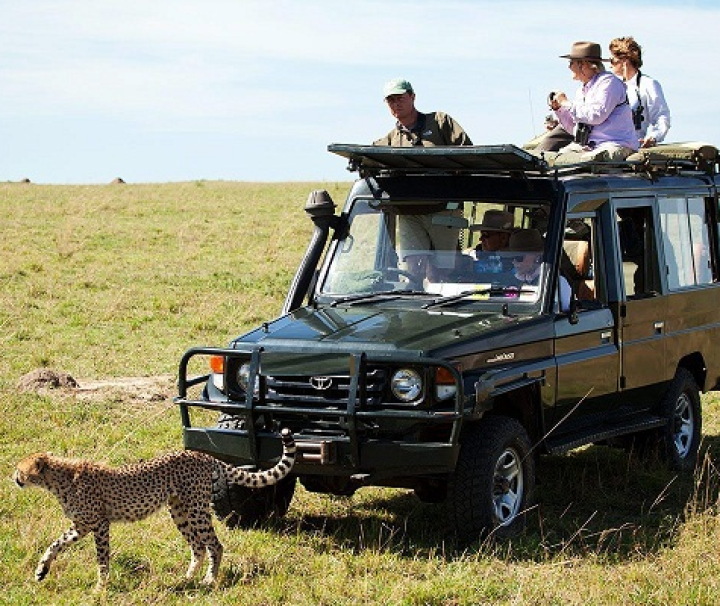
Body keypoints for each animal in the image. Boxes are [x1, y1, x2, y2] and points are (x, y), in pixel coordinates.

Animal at [11, 430, 294, 592]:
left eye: (20, 468)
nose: (13, 477)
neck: (57, 480)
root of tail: (199, 455)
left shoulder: (99, 524)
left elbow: (102, 559)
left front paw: (100, 587)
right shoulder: (81, 525)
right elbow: (55, 544)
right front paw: (41, 571)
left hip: (197, 509)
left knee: (214, 545)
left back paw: (208, 580)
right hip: (178, 511)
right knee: (198, 546)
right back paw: (187, 579)